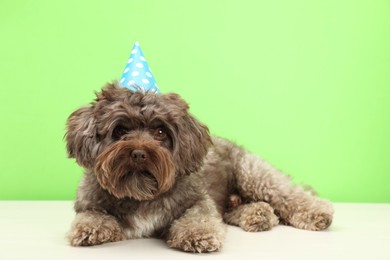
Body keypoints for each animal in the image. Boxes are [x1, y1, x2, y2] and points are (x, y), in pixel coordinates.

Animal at [65, 82, 334, 253]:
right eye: (120, 130)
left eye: (160, 131)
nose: (139, 153)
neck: (140, 194)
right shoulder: (89, 203)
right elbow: (92, 216)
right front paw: (90, 229)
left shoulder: (199, 201)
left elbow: (199, 218)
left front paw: (196, 235)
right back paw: (258, 214)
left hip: (253, 174)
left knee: (289, 195)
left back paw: (315, 212)